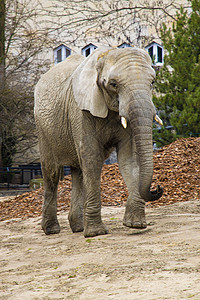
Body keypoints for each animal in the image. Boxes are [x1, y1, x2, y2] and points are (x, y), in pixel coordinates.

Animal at [34, 46, 162, 237]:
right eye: (113, 84)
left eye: (152, 82)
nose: (158, 188)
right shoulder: (80, 111)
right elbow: (92, 158)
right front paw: (96, 233)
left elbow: (128, 159)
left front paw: (136, 225)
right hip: (43, 128)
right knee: (52, 173)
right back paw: (51, 230)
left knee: (78, 171)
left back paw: (78, 227)